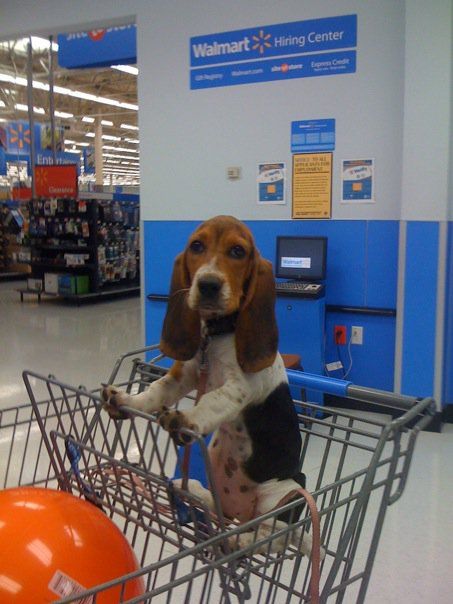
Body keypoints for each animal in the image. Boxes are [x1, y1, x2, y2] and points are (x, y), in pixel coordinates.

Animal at [103, 215, 314, 556]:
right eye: (197, 246)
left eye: (238, 251)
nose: (208, 285)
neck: (216, 334)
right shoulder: (185, 374)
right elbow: (155, 391)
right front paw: (126, 400)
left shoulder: (240, 388)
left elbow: (212, 400)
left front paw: (187, 418)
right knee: (218, 510)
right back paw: (191, 492)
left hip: (285, 491)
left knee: (271, 536)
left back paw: (239, 539)